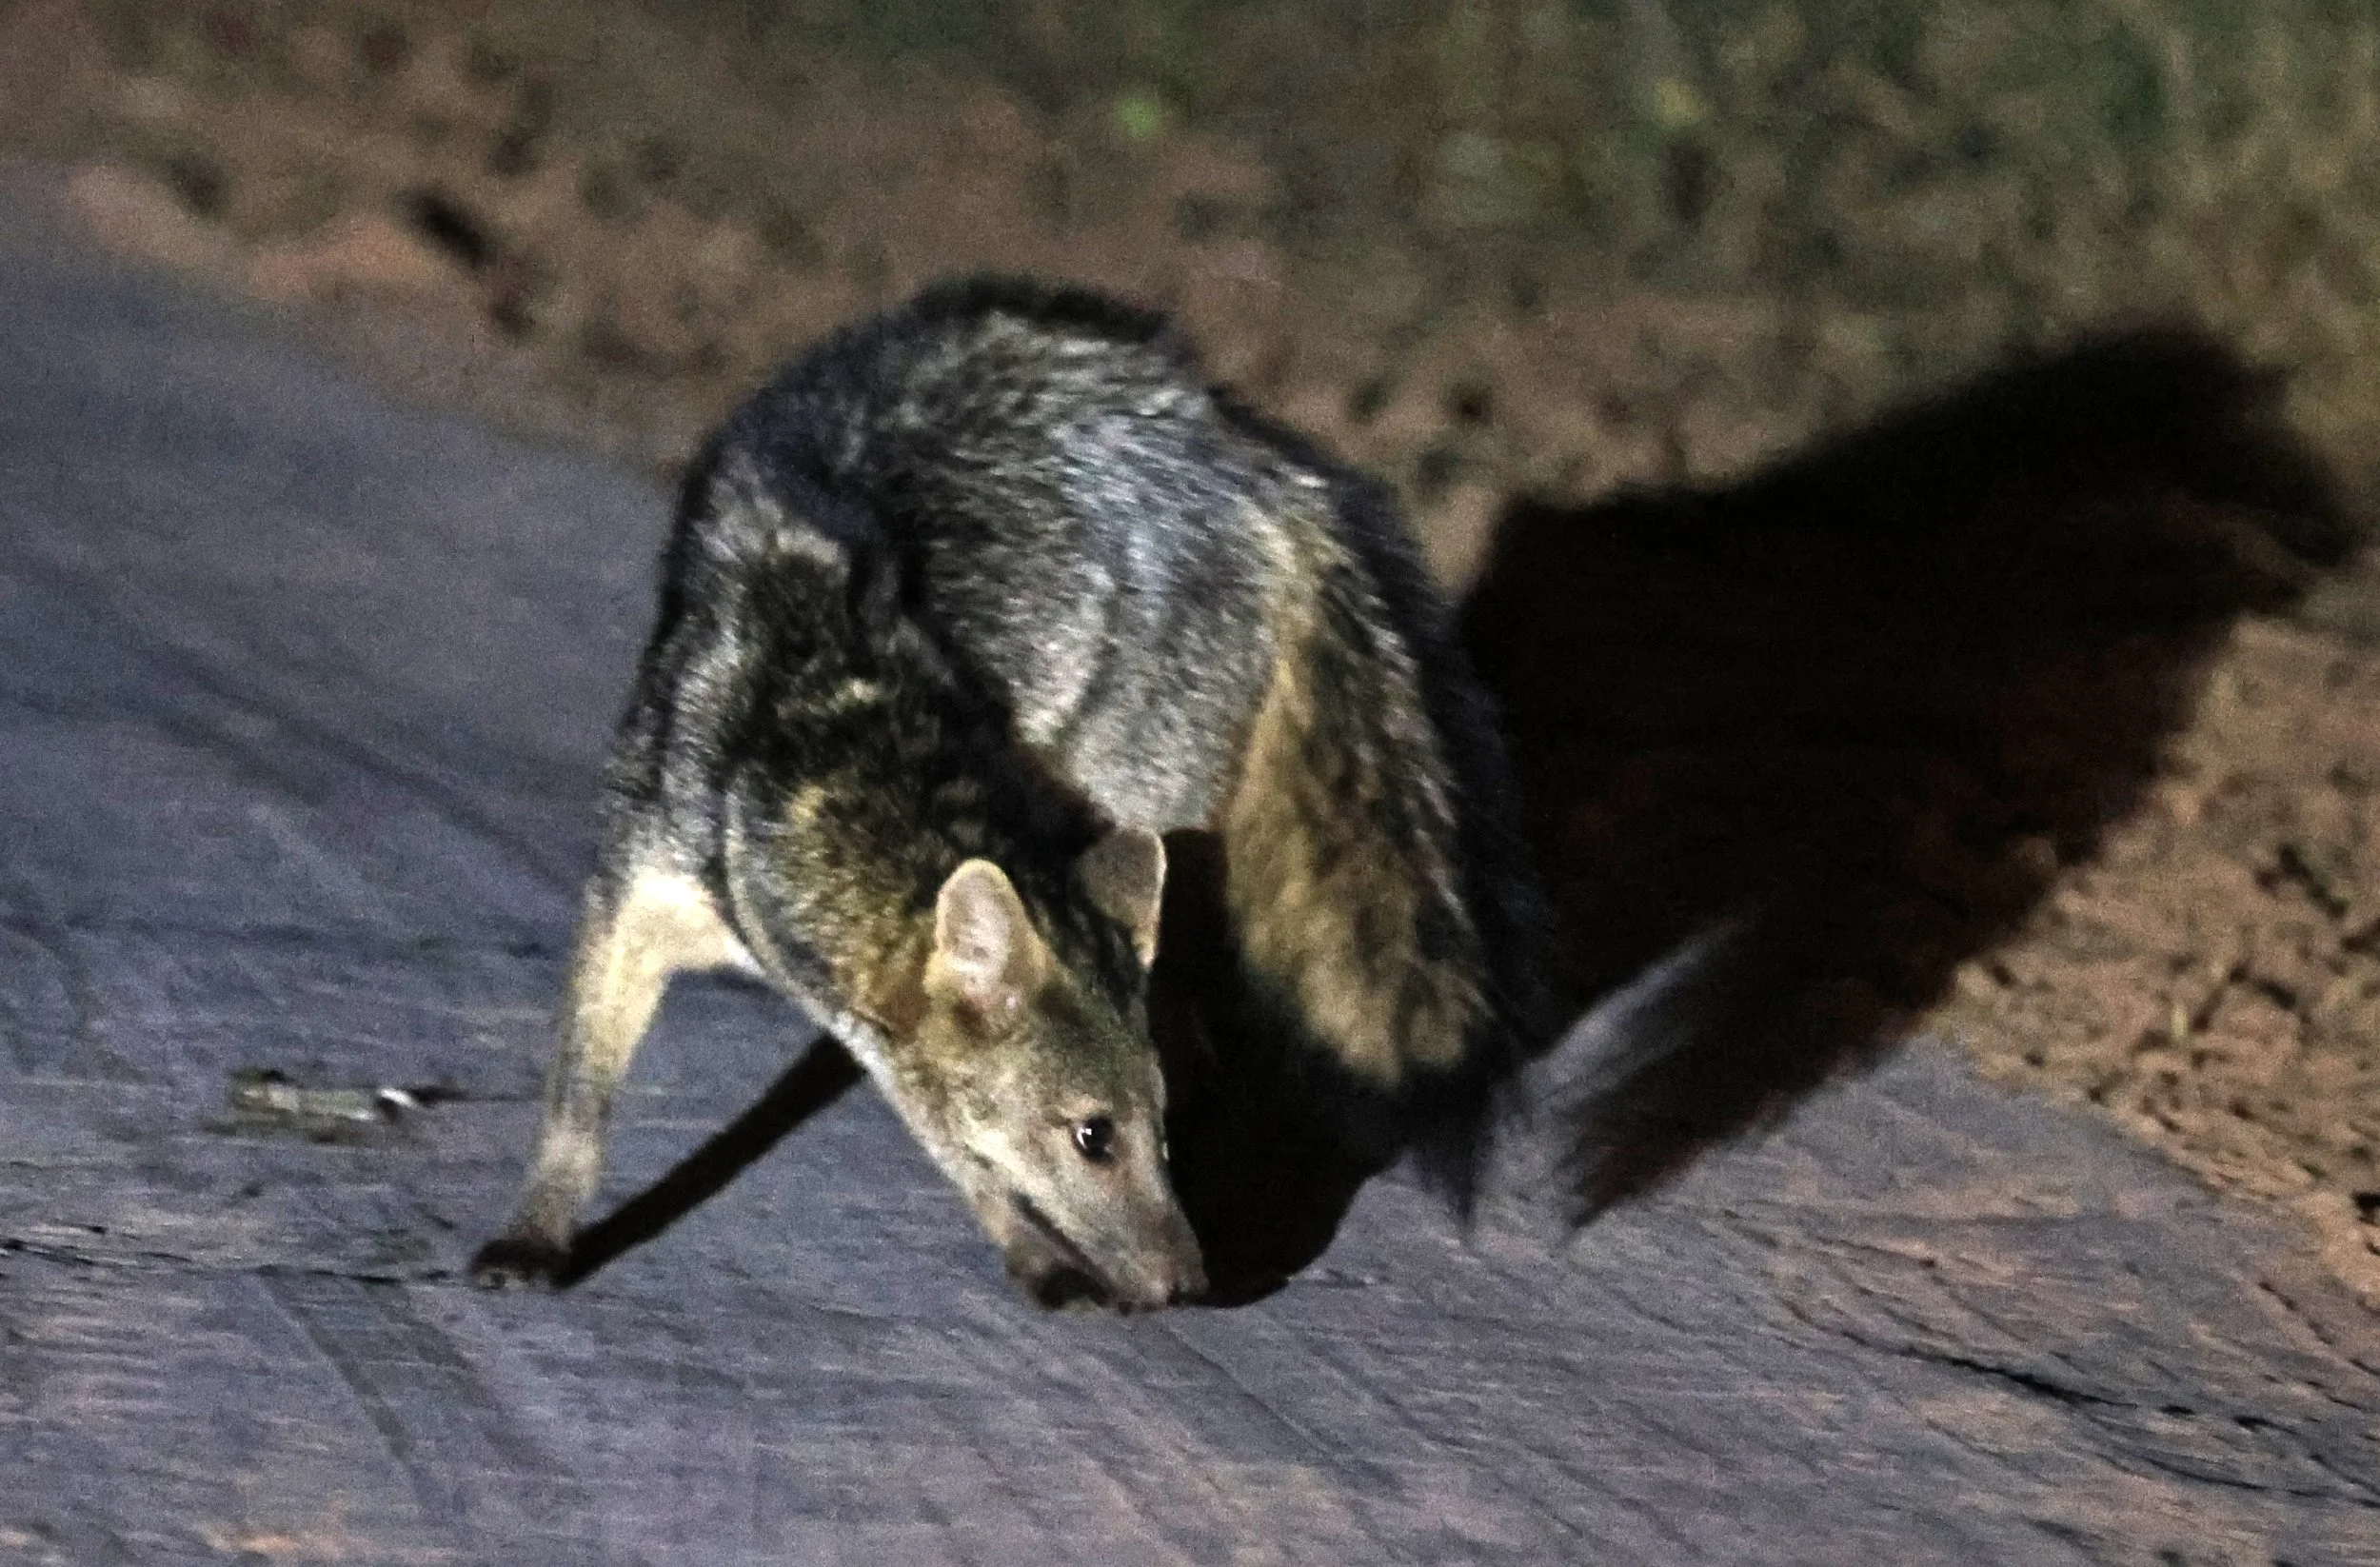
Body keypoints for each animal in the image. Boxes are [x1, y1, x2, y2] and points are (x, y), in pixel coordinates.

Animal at [471, 277, 1549, 1310]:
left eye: (1151, 1134)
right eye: (1093, 1137)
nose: (1188, 1284)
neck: (826, 711)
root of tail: (1258, 459)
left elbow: (963, 1147)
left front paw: (1040, 1254)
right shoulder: (632, 894)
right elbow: (575, 1101)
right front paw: (535, 1234)